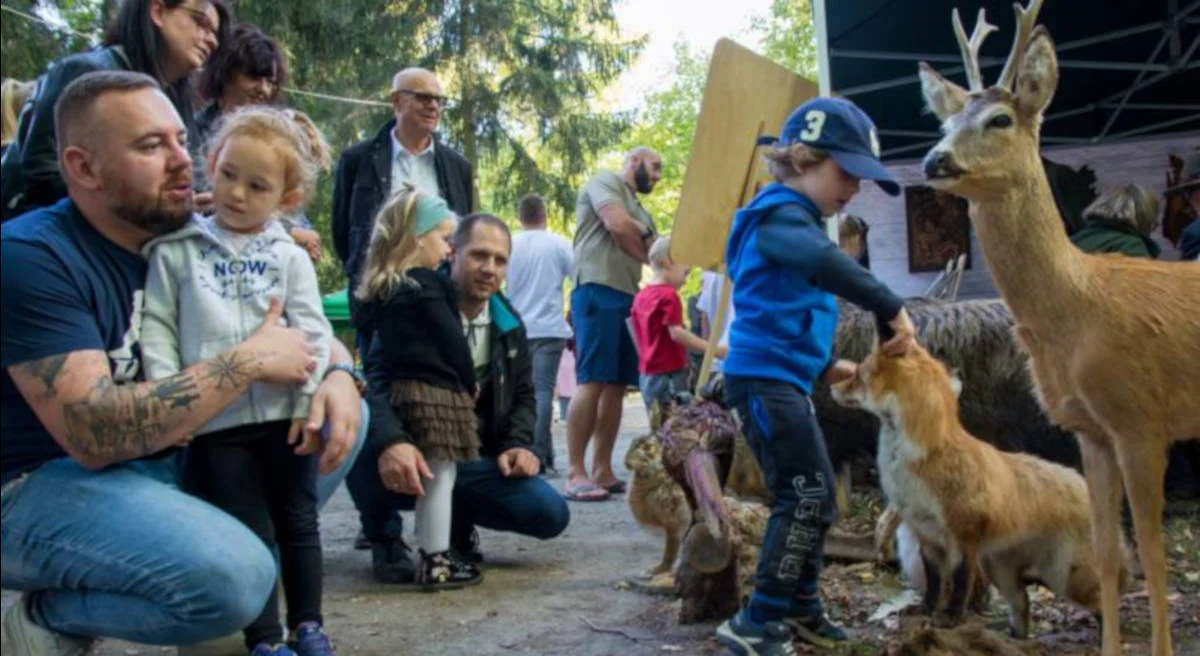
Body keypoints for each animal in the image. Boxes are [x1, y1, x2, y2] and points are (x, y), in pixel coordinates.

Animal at [830, 340, 1118, 638]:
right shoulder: (927, 536)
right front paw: (926, 610)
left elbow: (959, 585)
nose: (830, 386)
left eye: (858, 376)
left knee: (1104, 604)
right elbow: (934, 584)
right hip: (1000, 570)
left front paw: (951, 618)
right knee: (1022, 603)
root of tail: (1080, 480)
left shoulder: (963, 538)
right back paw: (1013, 636)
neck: (921, 462)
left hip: (1063, 575)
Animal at [916, 2, 1200, 652]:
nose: (934, 160)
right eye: (946, 121)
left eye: (999, 118)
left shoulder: (1143, 421)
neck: (1081, 308)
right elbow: (1107, 550)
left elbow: (1153, 557)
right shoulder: (1088, 429)